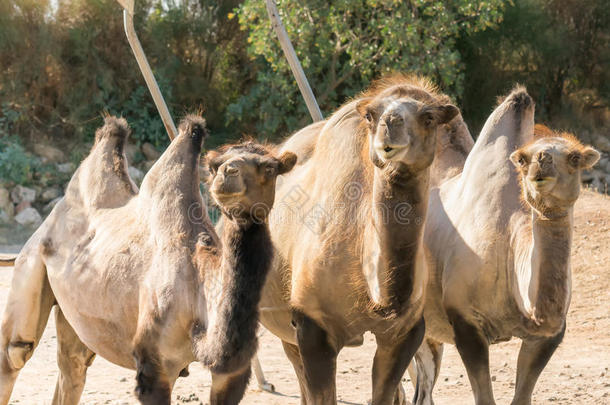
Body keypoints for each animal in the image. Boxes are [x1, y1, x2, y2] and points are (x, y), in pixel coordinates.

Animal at [0, 114, 296, 404]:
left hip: (74, 310)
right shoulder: (154, 364)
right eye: (213, 166)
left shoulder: (231, 375)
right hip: (30, 262)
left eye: (269, 169)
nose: (227, 174)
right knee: (15, 352)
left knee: (73, 366)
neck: (199, 293)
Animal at [408, 88, 600, 404]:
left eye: (574, 157)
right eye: (523, 158)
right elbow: (485, 397)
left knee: (421, 386)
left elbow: (521, 397)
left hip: (427, 329)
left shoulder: (548, 335)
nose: (543, 160)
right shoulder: (466, 324)